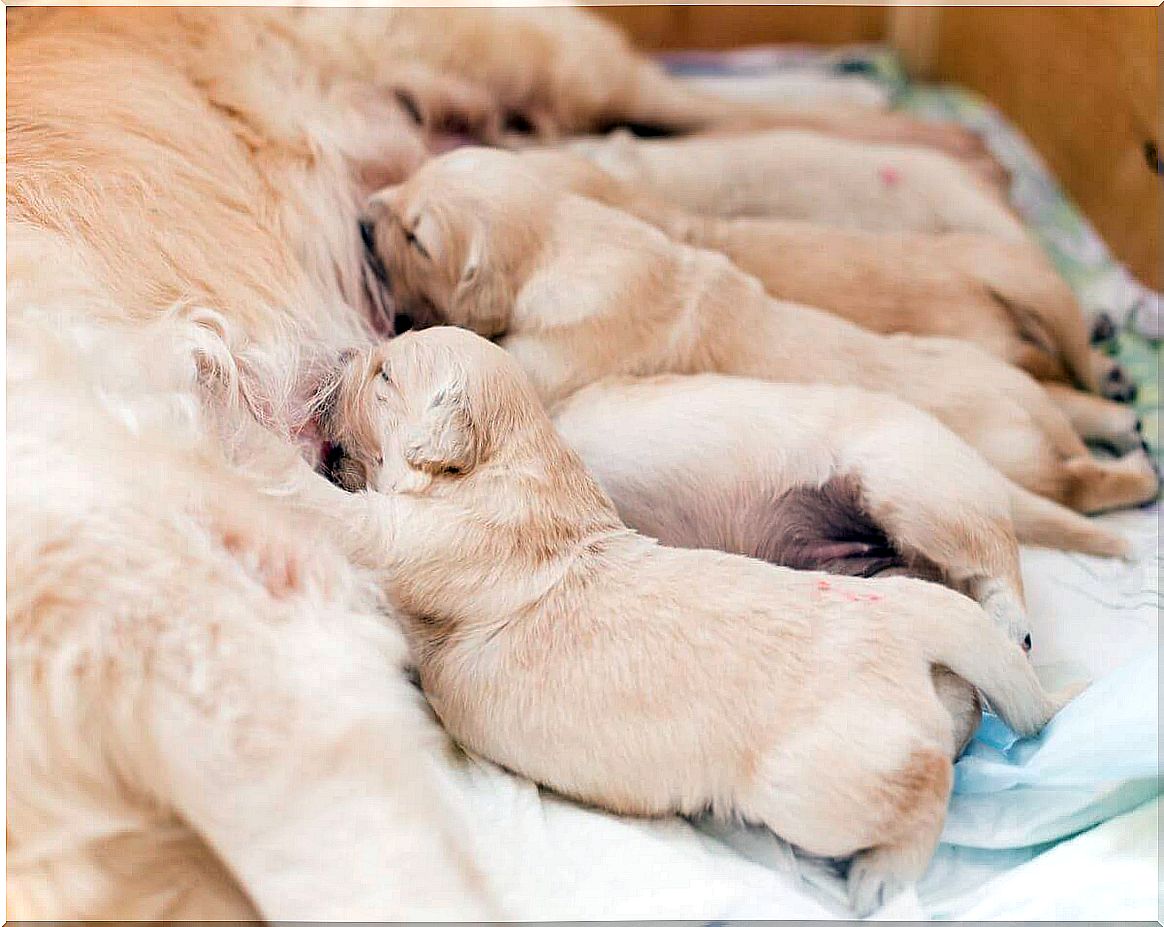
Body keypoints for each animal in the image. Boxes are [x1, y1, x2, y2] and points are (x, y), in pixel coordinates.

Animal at [323, 326, 1075, 917]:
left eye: (385, 373)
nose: (341, 355)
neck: (518, 461)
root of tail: (909, 625)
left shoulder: (418, 537)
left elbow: (343, 513)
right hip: (898, 603)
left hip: (818, 771)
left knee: (926, 777)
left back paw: (881, 879)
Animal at [358, 149, 1159, 517]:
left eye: (417, 237)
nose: (363, 216)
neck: (566, 235)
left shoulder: (555, 355)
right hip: (1004, 372)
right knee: (1071, 395)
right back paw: (1119, 409)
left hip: (1020, 454)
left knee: (1080, 479)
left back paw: (1134, 474)